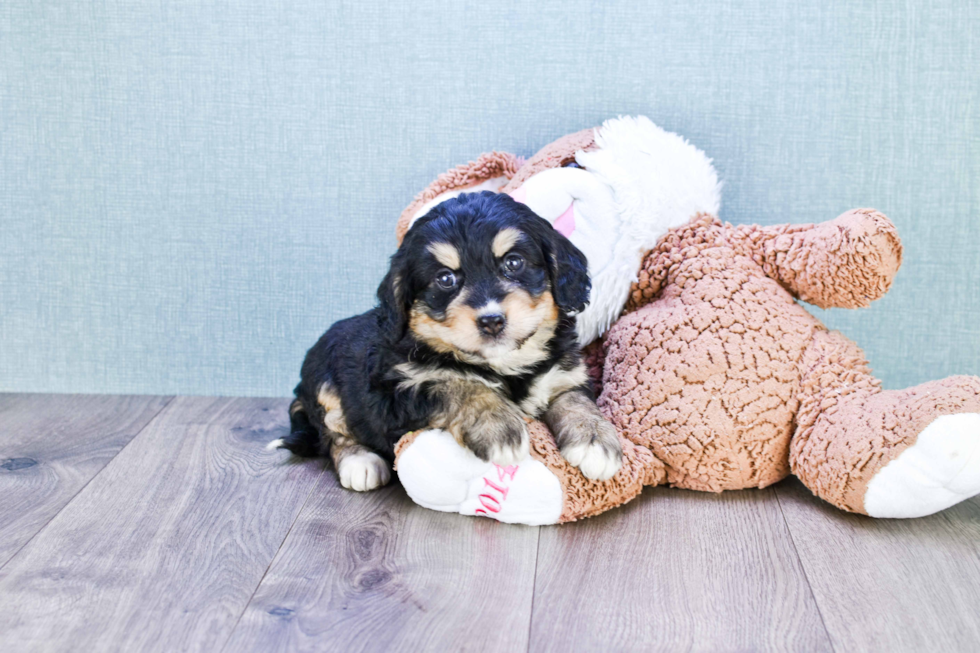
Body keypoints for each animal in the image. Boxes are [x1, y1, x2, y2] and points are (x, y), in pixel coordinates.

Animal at [268, 191, 620, 492]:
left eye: (514, 262)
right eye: (445, 279)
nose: (492, 320)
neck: (503, 365)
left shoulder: (564, 373)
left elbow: (575, 401)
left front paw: (595, 439)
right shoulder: (399, 389)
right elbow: (458, 384)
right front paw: (498, 426)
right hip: (324, 383)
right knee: (332, 430)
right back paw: (360, 462)